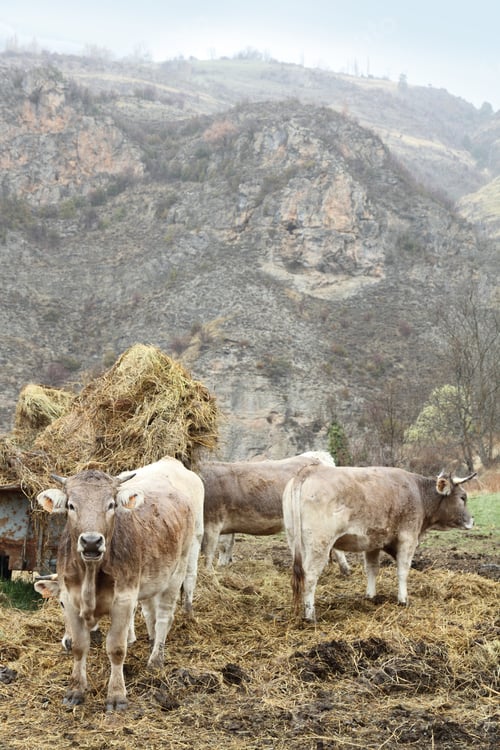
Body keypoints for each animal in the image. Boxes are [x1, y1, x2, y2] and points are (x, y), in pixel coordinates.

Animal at [36, 456, 204, 711]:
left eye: (111, 504)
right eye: (71, 506)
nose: (91, 542)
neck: (90, 575)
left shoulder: (124, 600)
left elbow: (116, 648)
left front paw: (116, 696)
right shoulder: (71, 599)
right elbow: (79, 647)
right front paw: (75, 691)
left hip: (179, 568)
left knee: (165, 615)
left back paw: (156, 659)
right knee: (150, 610)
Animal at [198, 451, 350, 576]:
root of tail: (318, 457)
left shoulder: (212, 523)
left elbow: (210, 550)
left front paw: (209, 572)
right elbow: (226, 545)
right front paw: (223, 566)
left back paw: (343, 569)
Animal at [282, 465, 476, 621]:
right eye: (463, 497)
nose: (472, 521)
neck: (418, 493)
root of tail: (309, 470)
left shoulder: (372, 542)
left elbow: (372, 569)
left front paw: (370, 596)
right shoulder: (408, 538)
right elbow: (403, 571)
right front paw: (403, 600)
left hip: (295, 541)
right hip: (319, 544)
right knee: (310, 576)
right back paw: (310, 616)